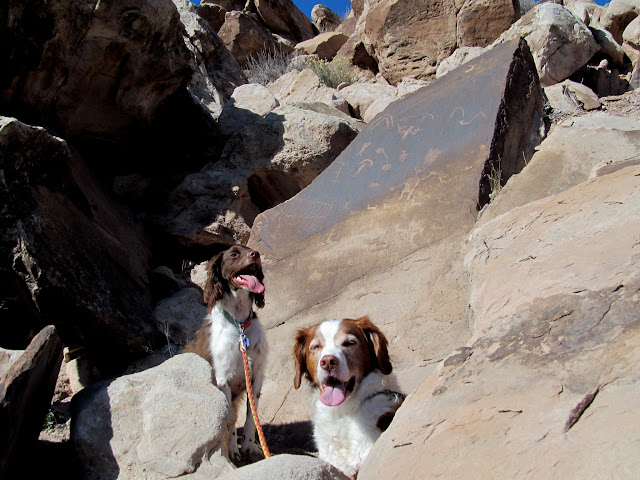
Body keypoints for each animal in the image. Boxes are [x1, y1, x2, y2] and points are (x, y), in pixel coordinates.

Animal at [184, 246, 266, 460]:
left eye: (249, 250)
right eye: (234, 254)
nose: (256, 254)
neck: (240, 326)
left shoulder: (256, 377)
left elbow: (250, 418)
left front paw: (249, 446)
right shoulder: (223, 379)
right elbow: (229, 422)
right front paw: (231, 450)